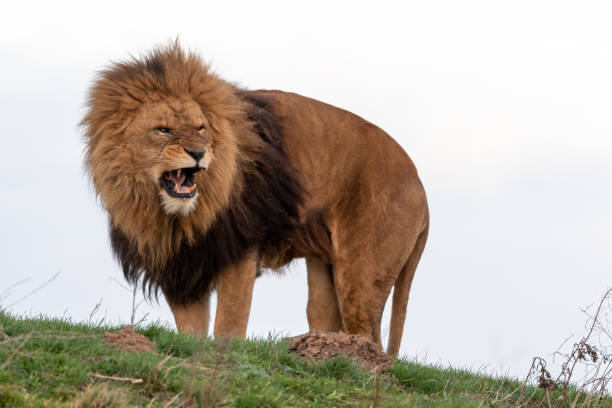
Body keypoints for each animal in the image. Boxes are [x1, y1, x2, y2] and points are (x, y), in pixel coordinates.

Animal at [81, 44, 428, 356]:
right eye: (163, 130)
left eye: (200, 128)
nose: (198, 152)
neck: (172, 214)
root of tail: (421, 188)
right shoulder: (181, 260)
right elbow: (191, 331)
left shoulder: (239, 247)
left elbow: (229, 324)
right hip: (324, 270)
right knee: (327, 316)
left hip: (361, 273)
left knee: (370, 337)